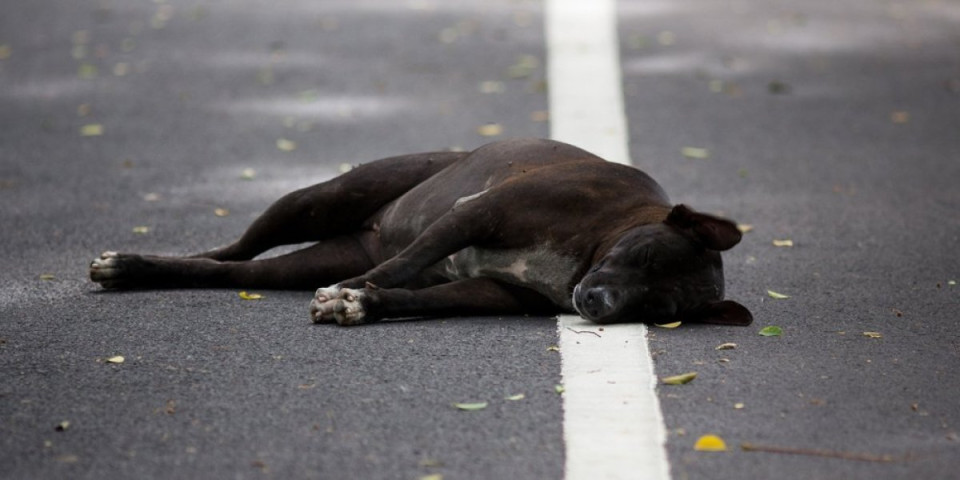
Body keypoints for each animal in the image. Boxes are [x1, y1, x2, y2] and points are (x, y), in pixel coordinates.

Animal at [88, 138, 752, 326]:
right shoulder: (475, 214)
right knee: (231, 249)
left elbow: (413, 292)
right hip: (319, 200)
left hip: (307, 254)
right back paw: (133, 263)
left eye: (656, 308)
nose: (601, 303)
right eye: (645, 256)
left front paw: (362, 304)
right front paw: (352, 291)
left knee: (235, 270)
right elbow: (399, 267)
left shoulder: (495, 292)